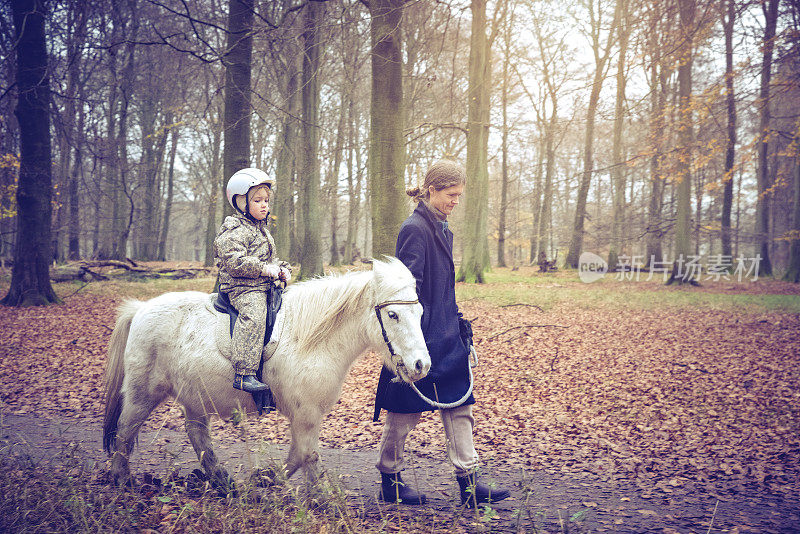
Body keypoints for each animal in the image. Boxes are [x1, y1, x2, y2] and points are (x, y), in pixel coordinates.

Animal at [107, 260, 434, 490]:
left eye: (419, 314)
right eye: (392, 315)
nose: (421, 365)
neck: (311, 339)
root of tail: (140, 309)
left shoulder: (305, 415)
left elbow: (297, 455)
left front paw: (264, 479)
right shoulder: (306, 414)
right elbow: (307, 456)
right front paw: (321, 499)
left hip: (194, 397)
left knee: (197, 435)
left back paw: (222, 481)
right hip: (142, 394)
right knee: (125, 431)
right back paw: (122, 479)